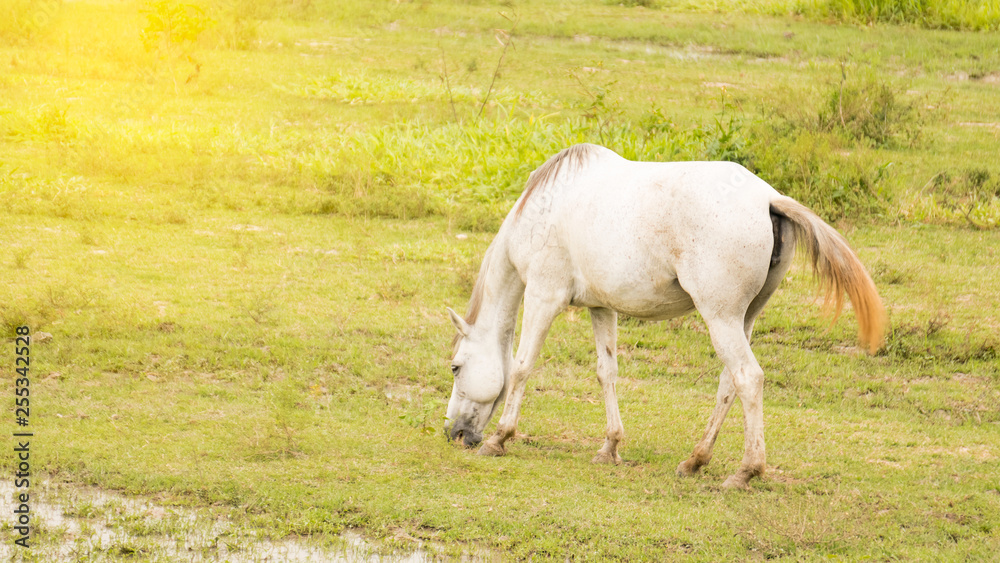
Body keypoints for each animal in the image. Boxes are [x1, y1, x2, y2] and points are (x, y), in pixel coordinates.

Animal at [444, 143, 885, 489]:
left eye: (455, 367)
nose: (453, 433)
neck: (541, 207)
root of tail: (768, 199)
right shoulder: (601, 308)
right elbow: (607, 372)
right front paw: (610, 446)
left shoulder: (542, 296)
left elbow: (521, 367)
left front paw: (499, 439)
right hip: (743, 320)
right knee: (729, 384)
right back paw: (695, 461)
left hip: (721, 318)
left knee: (748, 378)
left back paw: (745, 471)